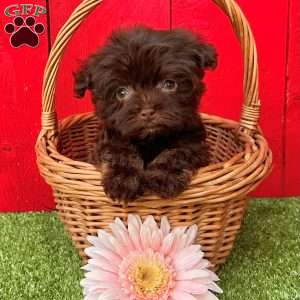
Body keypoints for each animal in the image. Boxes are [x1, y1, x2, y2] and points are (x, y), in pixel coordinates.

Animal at [74, 25, 217, 203]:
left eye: (170, 84)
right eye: (121, 92)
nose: (147, 112)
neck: (150, 139)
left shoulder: (195, 145)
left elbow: (178, 152)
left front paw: (165, 176)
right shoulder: (109, 140)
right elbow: (118, 151)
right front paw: (123, 178)